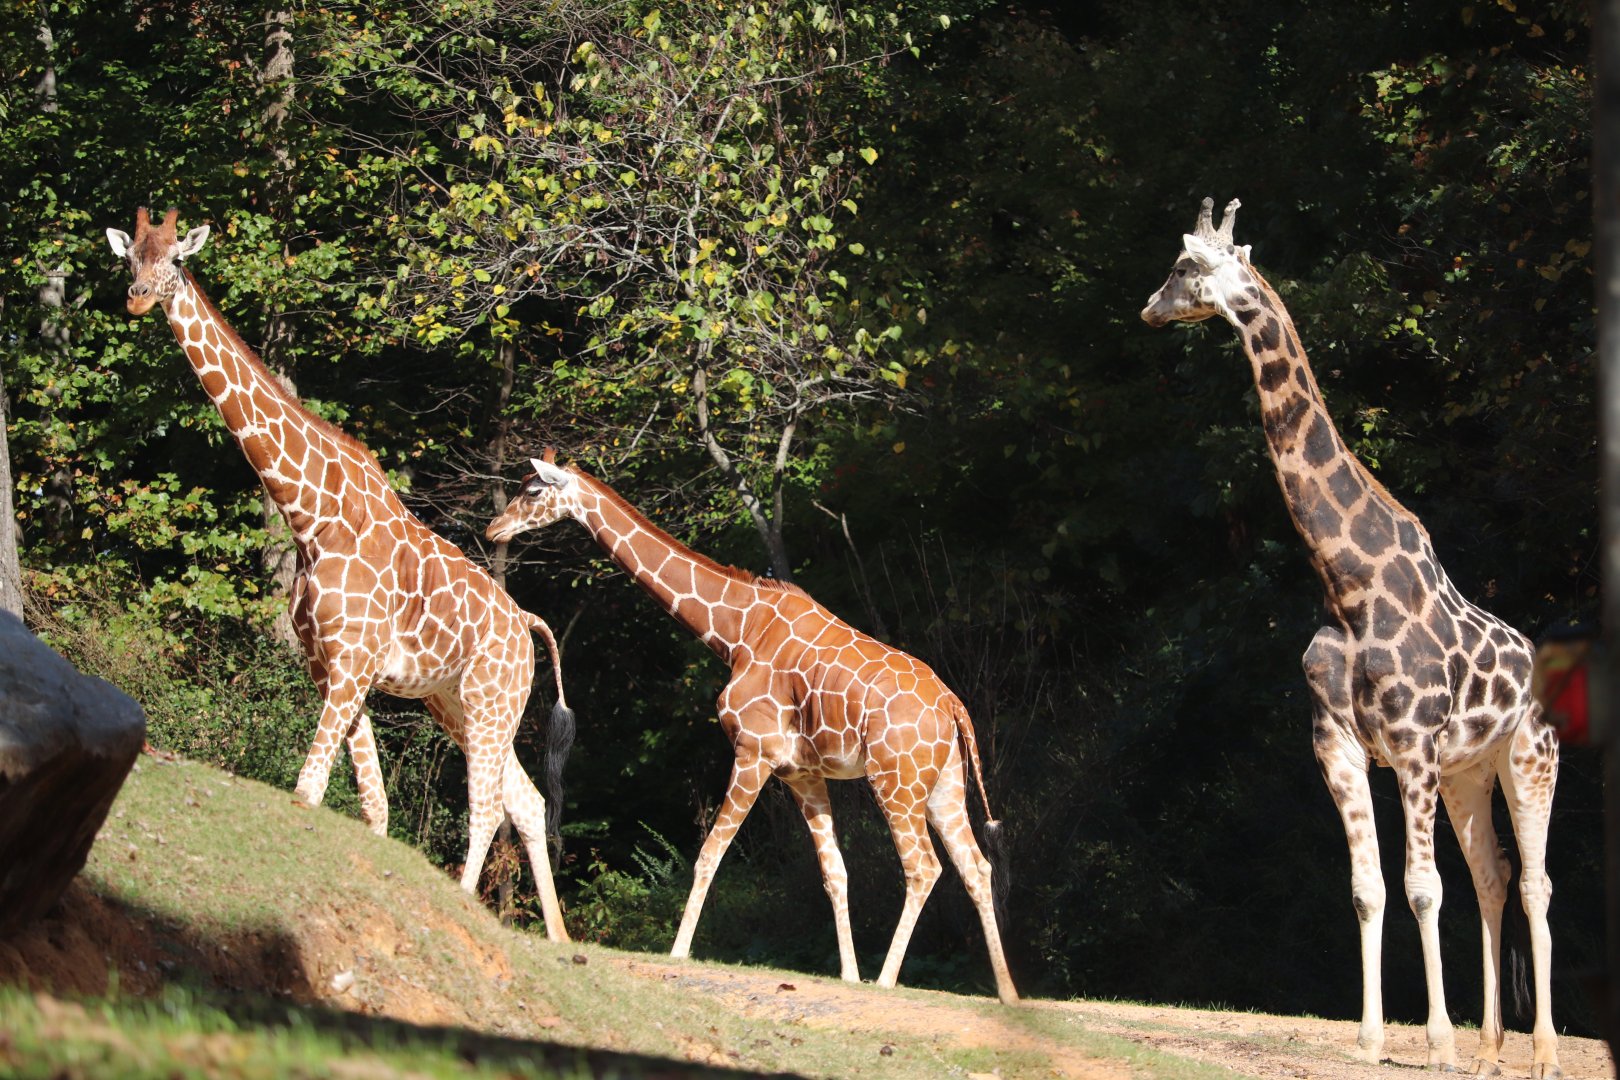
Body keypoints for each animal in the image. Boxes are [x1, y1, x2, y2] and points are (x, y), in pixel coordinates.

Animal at [106, 208, 575, 941]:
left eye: (176, 260)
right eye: (131, 260)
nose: (138, 298)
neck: (310, 515)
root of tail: (525, 621)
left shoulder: (353, 665)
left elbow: (307, 790)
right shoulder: (330, 667)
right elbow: (372, 808)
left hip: (492, 701)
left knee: (487, 808)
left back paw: (469, 910)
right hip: (454, 702)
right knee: (522, 799)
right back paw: (554, 942)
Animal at [486, 454, 1019, 1003]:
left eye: (531, 491)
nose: (492, 529)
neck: (736, 632)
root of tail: (953, 705)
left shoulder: (752, 752)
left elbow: (709, 854)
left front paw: (678, 951)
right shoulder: (801, 773)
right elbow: (835, 872)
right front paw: (848, 974)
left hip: (896, 782)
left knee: (924, 867)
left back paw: (888, 980)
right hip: (942, 785)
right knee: (976, 865)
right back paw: (1007, 993)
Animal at [1142, 198, 1561, 1076]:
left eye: (1185, 265)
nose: (1149, 309)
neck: (1347, 584)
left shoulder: (1411, 745)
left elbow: (1423, 887)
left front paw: (1433, 1042)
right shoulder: (1336, 743)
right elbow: (1370, 888)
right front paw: (1372, 1039)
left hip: (1528, 757)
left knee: (1534, 881)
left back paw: (1535, 1050)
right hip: (1470, 771)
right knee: (1495, 874)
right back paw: (1491, 1048)